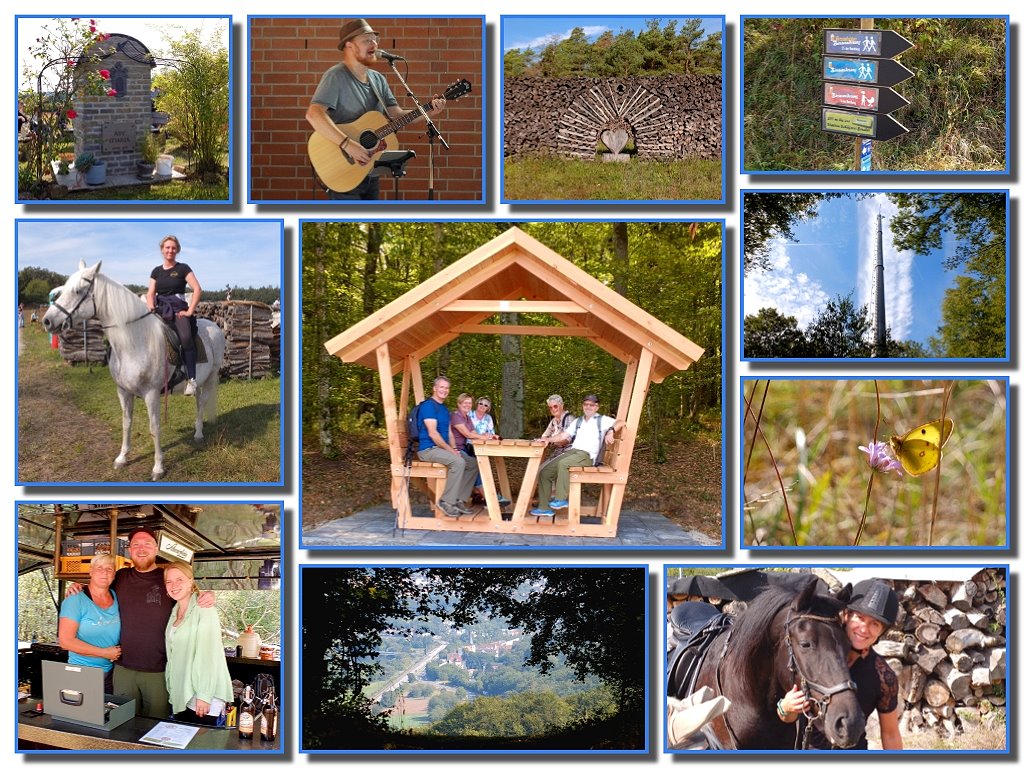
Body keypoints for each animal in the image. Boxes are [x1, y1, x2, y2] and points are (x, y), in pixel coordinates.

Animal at [42, 264, 226, 481]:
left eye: (78, 291)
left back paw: (198, 434)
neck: (134, 342)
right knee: (197, 401)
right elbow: (126, 423)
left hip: (212, 376)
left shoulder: (151, 394)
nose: (47, 321)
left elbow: (154, 428)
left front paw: (158, 467)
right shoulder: (123, 391)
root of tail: (214, 326)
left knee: (202, 402)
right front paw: (122, 458)